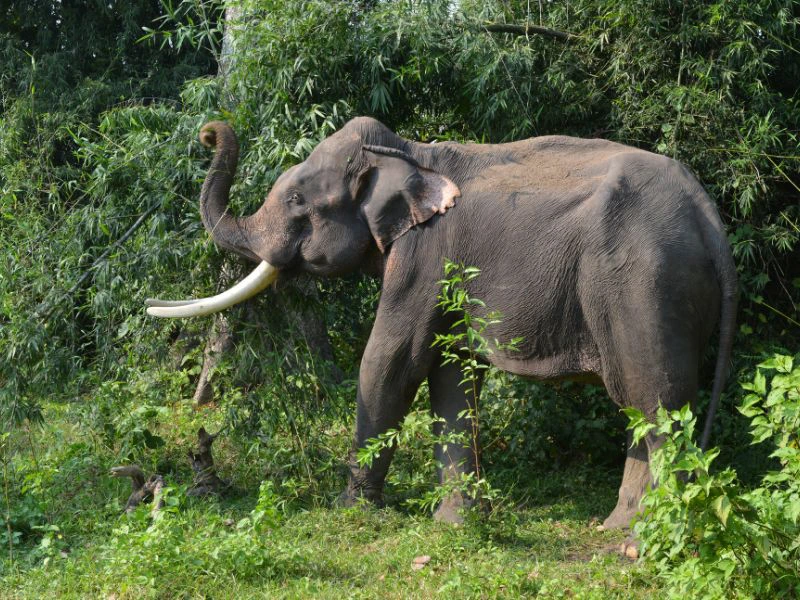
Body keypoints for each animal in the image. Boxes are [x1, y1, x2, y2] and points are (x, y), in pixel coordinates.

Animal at [147, 117, 737, 530]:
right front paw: (457, 523)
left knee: (656, 399)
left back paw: (642, 542)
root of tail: (709, 218)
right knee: (647, 407)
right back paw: (621, 528)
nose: (208, 132)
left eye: (296, 199)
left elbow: (392, 360)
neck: (412, 152)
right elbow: (454, 377)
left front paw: (351, 509)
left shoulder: (425, 257)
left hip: (643, 286)